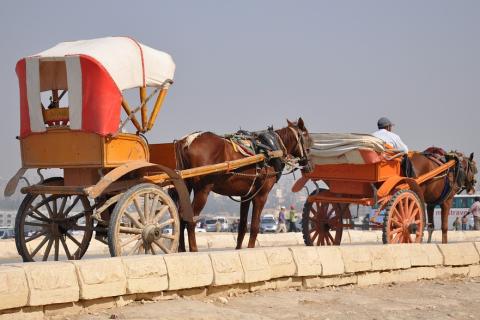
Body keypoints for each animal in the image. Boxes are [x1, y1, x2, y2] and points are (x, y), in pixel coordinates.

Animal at [174, 118, 314, 252]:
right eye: (308, 139)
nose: (310, 166)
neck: (270, 150)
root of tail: (186, 141)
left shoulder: (245, 196)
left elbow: (242, 225)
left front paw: (238, 248)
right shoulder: (261, 195)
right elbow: (255, 225)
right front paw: (251, 247)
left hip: (185, 185)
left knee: (180, 214)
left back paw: (181, 249)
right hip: (203, 189)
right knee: (191, 217)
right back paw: (193, 249)